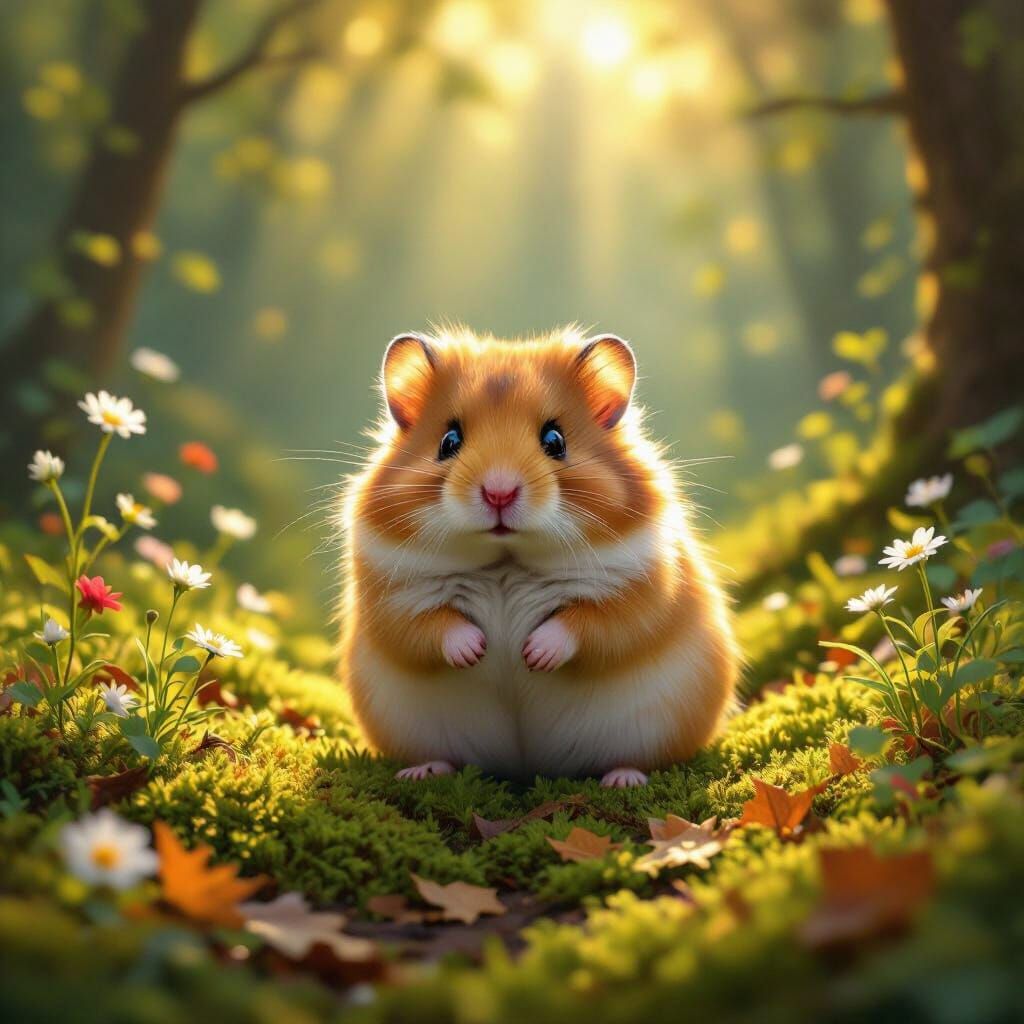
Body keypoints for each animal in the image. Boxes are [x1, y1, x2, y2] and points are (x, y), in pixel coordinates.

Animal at [338, 325, 738, 787]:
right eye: (448, 441)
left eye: (555, 441)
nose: (499, 492)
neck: (506, 561)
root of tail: (527, 769)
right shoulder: (389, 597)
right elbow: (429, 628)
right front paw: (477, 650)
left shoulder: (644, 591)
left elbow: (592, 623)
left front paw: (532, 656)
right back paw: (423, 772)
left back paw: (624, 778)